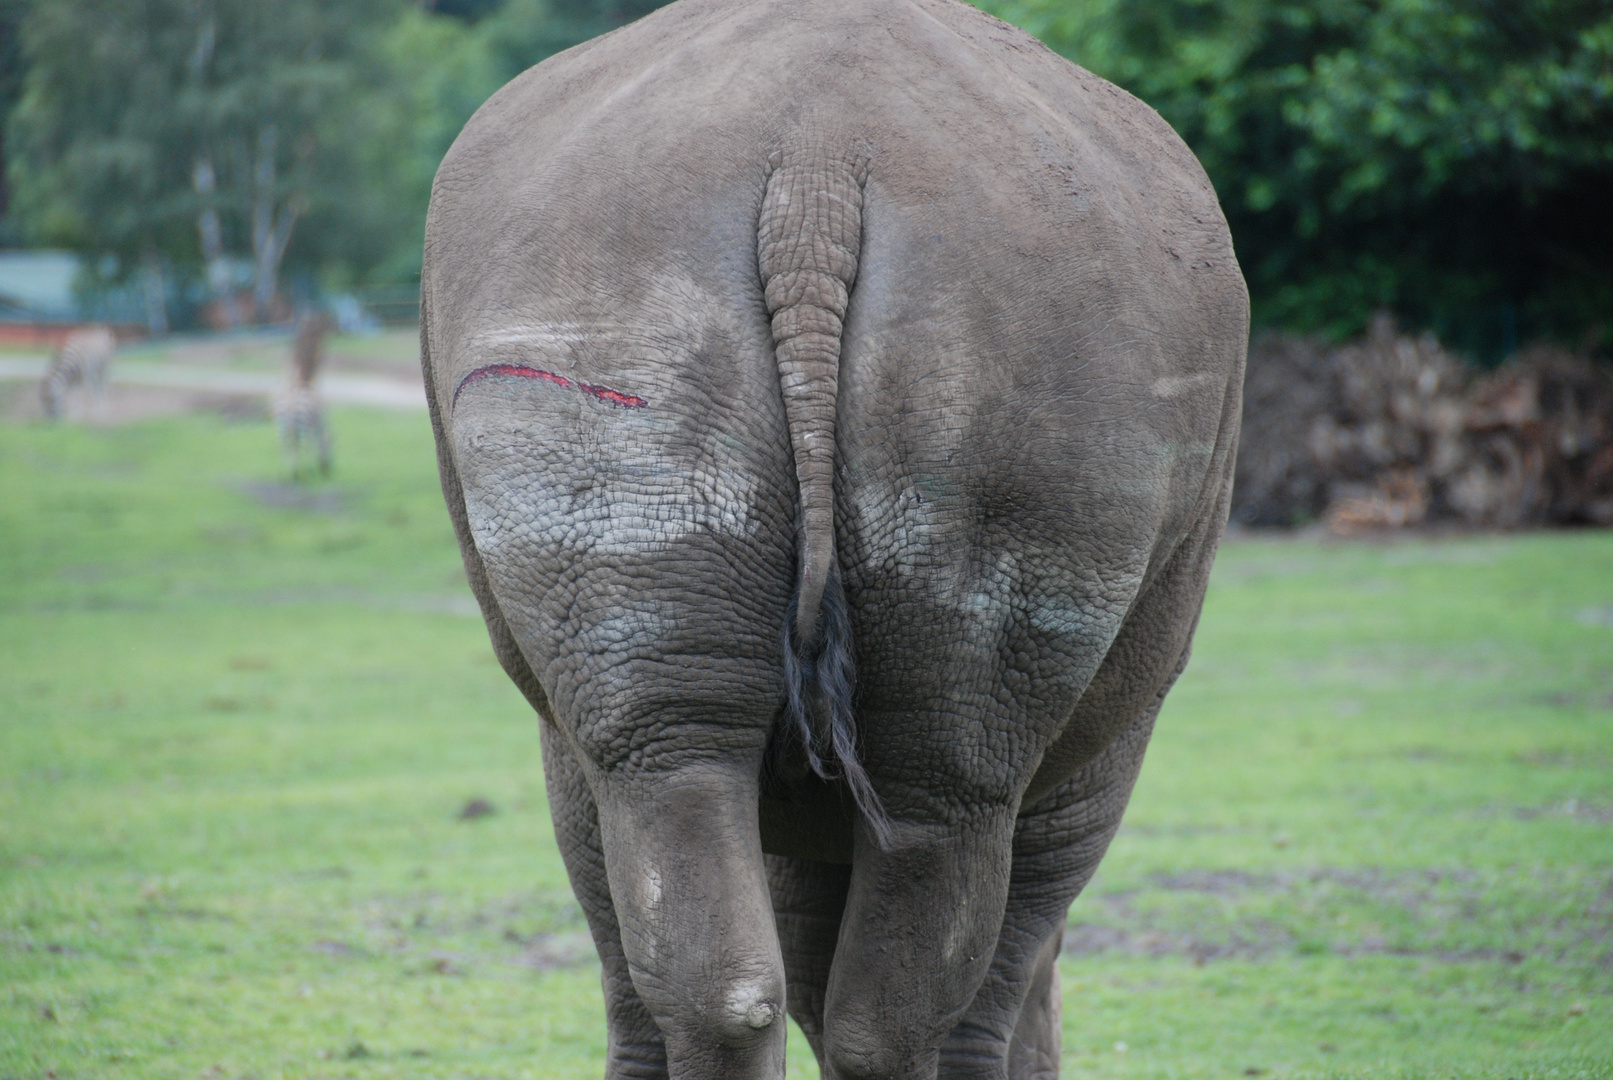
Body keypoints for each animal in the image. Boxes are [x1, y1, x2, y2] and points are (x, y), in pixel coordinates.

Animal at [274, 315, 333, 480]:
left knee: (285, 445)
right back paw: (303, 473)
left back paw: (286, 474)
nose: (328, 470)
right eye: (323, 330)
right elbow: (316, 441)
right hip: (301, 422)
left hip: (282, 423)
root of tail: (291, 402)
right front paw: (313, 468)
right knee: (302, 445)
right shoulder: (317, 419)